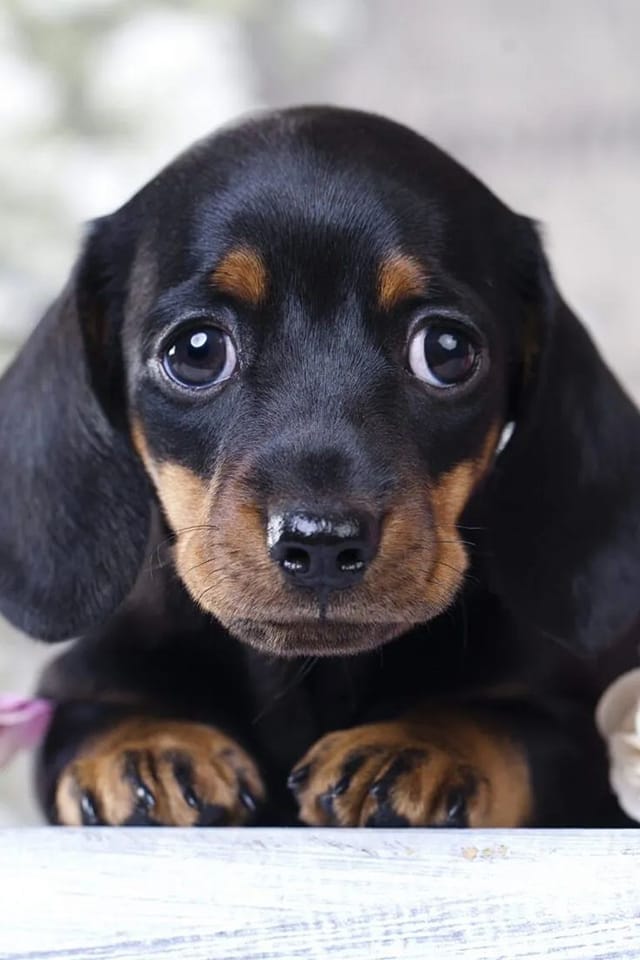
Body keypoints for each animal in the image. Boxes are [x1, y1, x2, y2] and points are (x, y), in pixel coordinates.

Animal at [1, 107, 640, 824]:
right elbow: (91, 714)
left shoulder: (573, 729)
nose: (323, 542)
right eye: (196, 350)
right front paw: (148, 745)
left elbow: (503, 722)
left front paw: (418, 744)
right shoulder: (81, 679)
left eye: (446, 351)